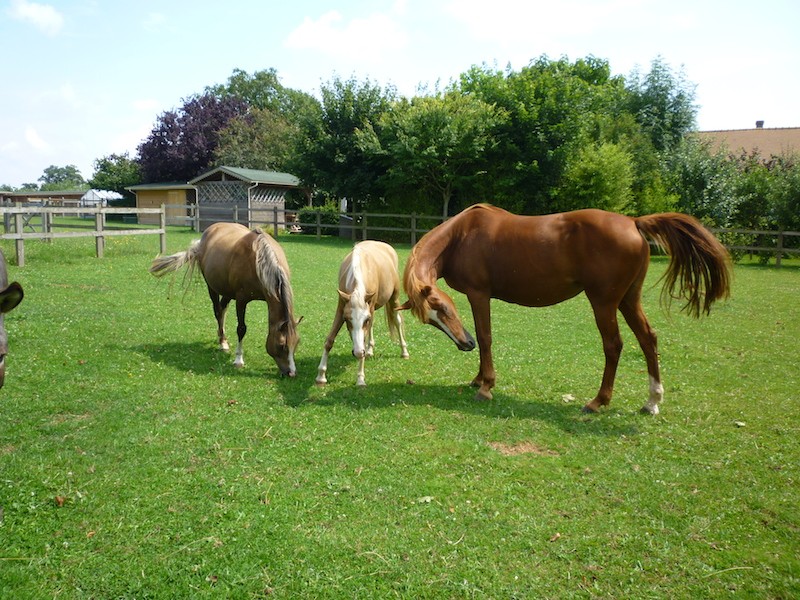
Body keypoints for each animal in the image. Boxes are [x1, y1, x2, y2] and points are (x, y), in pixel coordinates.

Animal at [149, 223, 300, 378]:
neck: (258, 260)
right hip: (212, 288)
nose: (291, 373)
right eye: (282, 345)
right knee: (217, 311)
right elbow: (241, 328)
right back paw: (222, 342)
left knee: (222, 310)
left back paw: (222, 338)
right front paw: (238, 360)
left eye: (296, 343)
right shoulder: (241, 300)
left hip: (227, 292)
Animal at [316, 240, 410, 386]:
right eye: (347, 320)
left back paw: (404, 352)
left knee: (397, 321)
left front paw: (360, 378)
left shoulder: (368, 310)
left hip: (394, 298)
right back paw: (370, 350)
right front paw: (321, 375)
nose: (358, 352)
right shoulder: (341, 307)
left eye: (365, 320)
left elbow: (364, 339)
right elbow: (329, 340)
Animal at [400, 204, 732, 414]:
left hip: (603, 302)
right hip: (628, 300)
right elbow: (485, 338)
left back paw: (598, 402)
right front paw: (479, 379)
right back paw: (652, 401)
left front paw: (486, 386)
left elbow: (486, 337)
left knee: (614, 345)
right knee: (647, 339)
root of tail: (634, 223)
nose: (463, 343)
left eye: (444, 308)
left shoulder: (479, 295)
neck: (461, 236)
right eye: (431, 319)